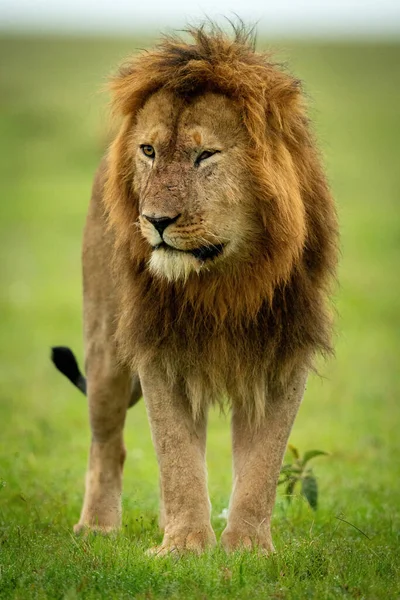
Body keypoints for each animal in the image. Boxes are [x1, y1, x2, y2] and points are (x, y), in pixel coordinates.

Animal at [50, 24, 338, 556]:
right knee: (108, 442)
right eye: (148, 151)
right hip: (104, 350)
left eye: (206, 155)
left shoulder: (285, 353)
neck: (226, 282)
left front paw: (246, 549)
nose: (155, 220)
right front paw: (183, 548)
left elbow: (262, 465)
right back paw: (97, 526)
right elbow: (176, 457)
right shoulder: (159, 349)